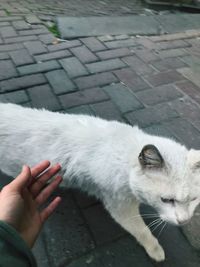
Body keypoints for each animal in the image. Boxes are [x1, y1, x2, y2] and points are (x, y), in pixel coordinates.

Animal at [0, 103, 200, 262]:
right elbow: (142, 231)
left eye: (193, 200)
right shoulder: (120, 207)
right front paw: (156, 251)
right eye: (166, 200)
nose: (184, 221)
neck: (125, 157)